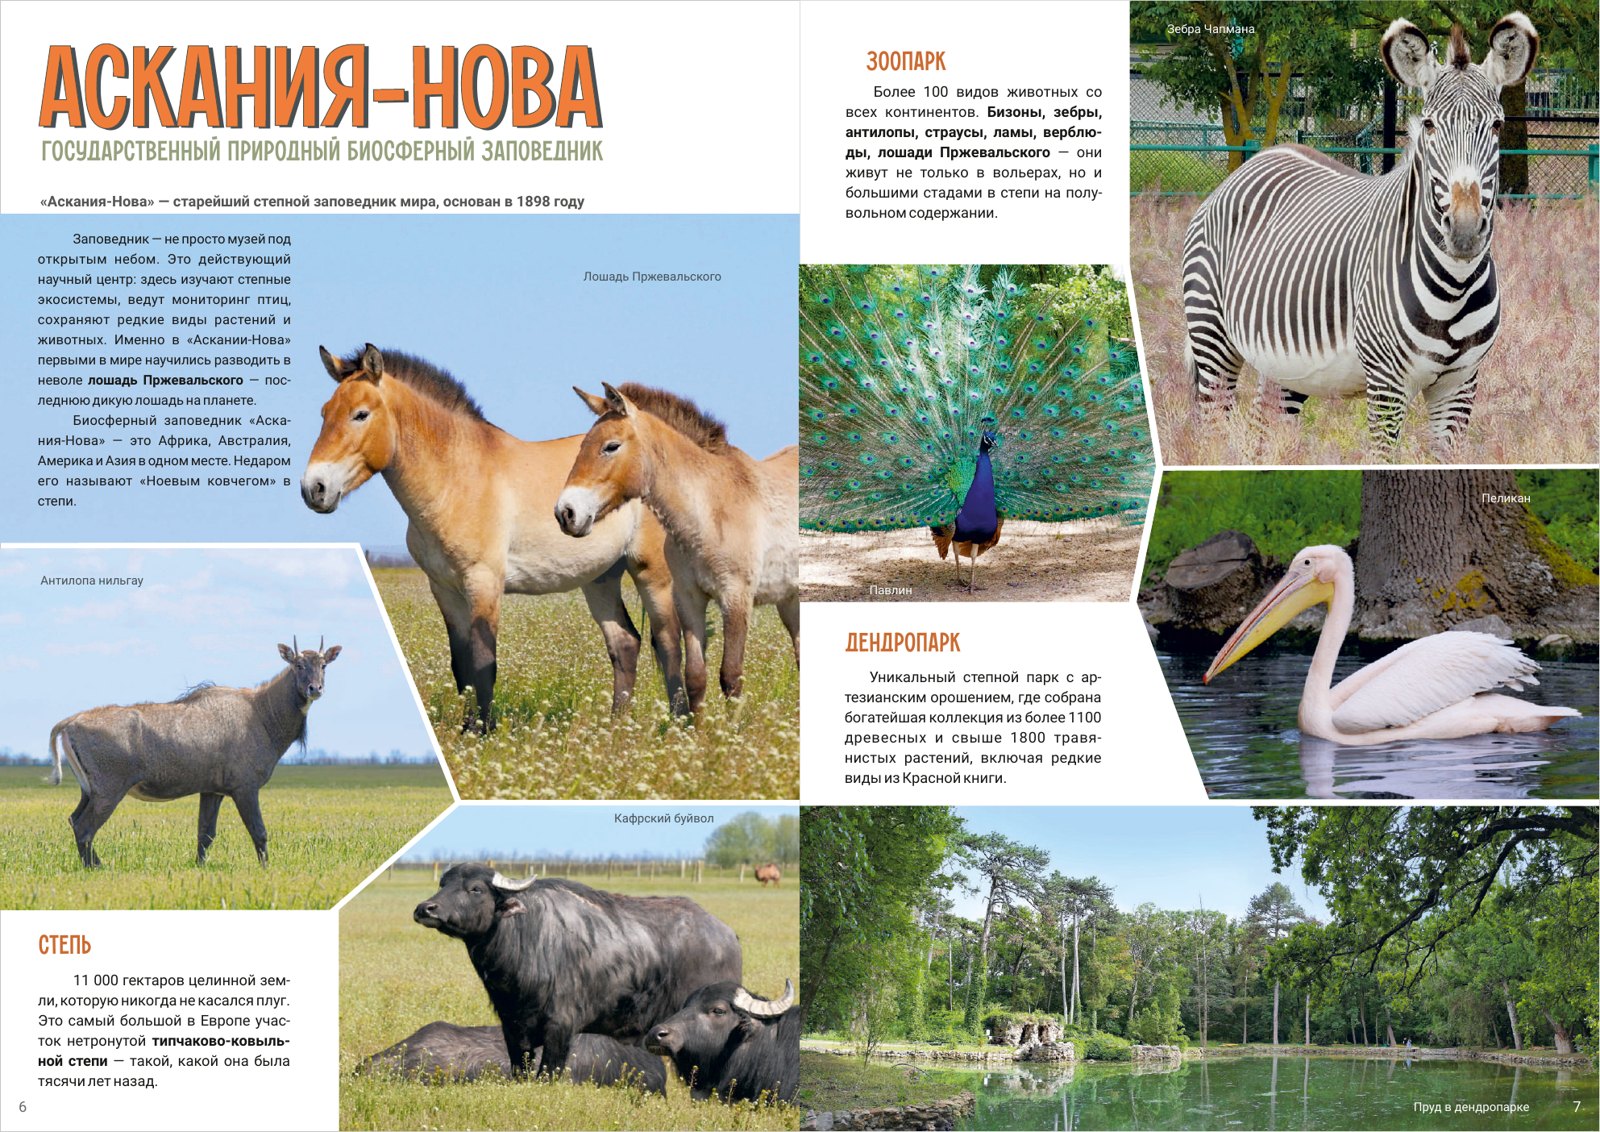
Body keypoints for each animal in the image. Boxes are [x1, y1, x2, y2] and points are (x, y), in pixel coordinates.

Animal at [300, 345, 685, 730]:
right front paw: (466, 730)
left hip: (653, 575)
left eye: (360, 414)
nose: (314, 488)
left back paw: (678, 723)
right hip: (601, 577)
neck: (458, 477)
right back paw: (615, 726)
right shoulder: (445, 589)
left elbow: (484, 665)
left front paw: (481, 732)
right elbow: (462, 667)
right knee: (625, 643)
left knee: (669, 644)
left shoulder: (483, 582)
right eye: (323, 412)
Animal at [554, 383, 798, 712]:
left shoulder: (736, 597)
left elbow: (731, 677)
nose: (566, 513)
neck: (708, 511)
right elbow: (695, 677)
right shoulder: (688, 598)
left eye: (611, 446)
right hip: (790, 601)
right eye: (581, 446)